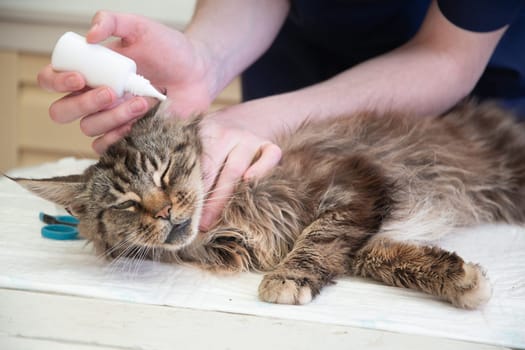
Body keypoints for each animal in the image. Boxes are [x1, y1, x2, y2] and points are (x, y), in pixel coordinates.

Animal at [12, 101, 524, 308]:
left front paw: (288, 278)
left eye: (164, 172)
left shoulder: (349, 182)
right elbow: (381, 258)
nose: (164, 212)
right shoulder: (365, 232)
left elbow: (318, 236)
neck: (226, 223)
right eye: (126, 204)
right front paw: (462, 280)